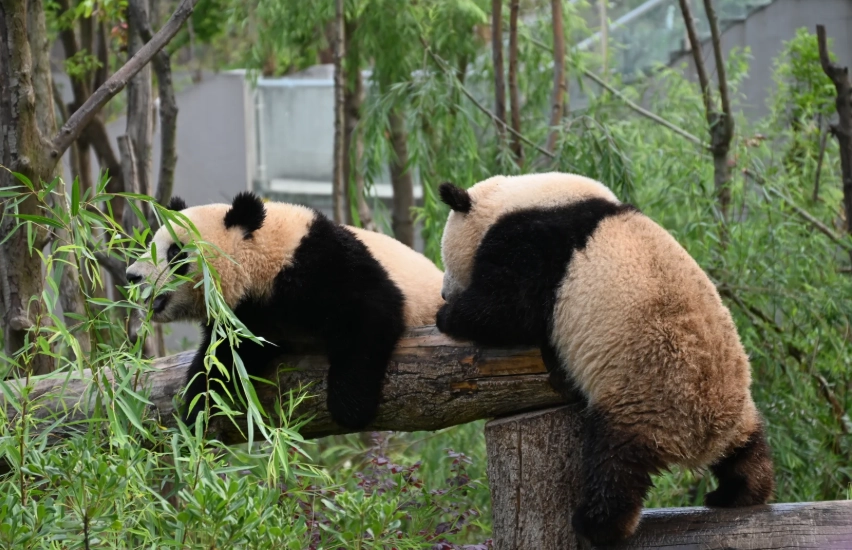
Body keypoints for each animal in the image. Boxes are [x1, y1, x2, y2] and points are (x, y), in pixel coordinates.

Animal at [125, 192, 444, 430]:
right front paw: (196, 407)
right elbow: (225, 358)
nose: (132, 276)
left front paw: (349, 407)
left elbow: (371, 314)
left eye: (175, 253)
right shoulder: (247, 316)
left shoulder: (323, 265)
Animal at [435, 172, 774, 545]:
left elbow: (508, 309)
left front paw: (448, 315)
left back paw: (595, 525)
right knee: (747, 452)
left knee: (614, 467)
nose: (444, 292)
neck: (527, 195)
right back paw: (740, 493)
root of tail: (703, 437)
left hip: (645, 403)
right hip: (736, 409)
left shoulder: (537, 244)